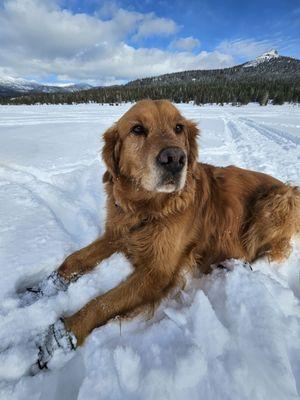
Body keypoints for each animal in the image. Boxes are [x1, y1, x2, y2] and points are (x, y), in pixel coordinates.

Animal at [27, 99, 298, 366]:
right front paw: (42, 290)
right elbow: (74, 260)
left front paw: (61, 336)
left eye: (179, 128)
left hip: (275, 202)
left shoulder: (157, 271)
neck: (146, 209)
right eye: (137, 129)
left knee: (268, 251)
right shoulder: (117, 234)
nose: (175, 158)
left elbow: (104, 302)